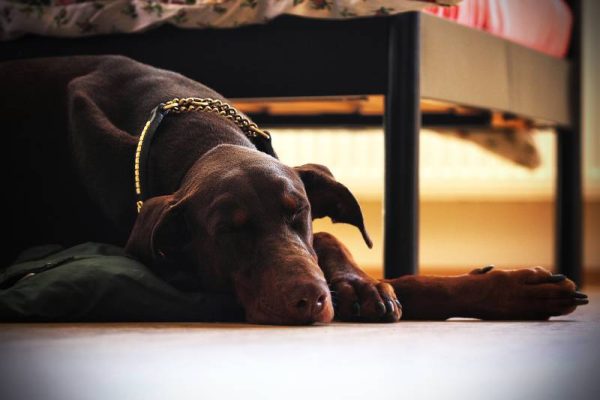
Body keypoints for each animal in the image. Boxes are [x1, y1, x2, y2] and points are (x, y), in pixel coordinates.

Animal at [2, 55, 588, 324]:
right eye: (226, 230)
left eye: (299, 211)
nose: (310, 299)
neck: (195, 132)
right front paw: (358, 286)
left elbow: (338, 246)